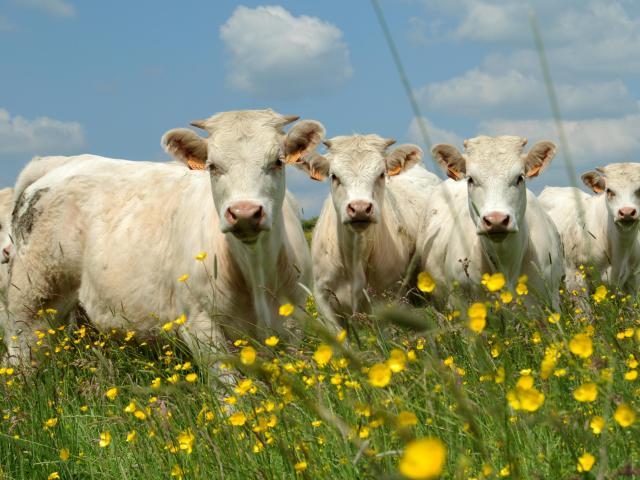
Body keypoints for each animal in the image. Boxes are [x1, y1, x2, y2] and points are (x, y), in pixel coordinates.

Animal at [6, 109, 330, 376]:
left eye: (277, 161)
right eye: (212, 166)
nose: (244, 212)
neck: (255, 271)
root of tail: (60, 163)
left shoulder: (292, 323)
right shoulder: (201, 325)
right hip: (31, 304)